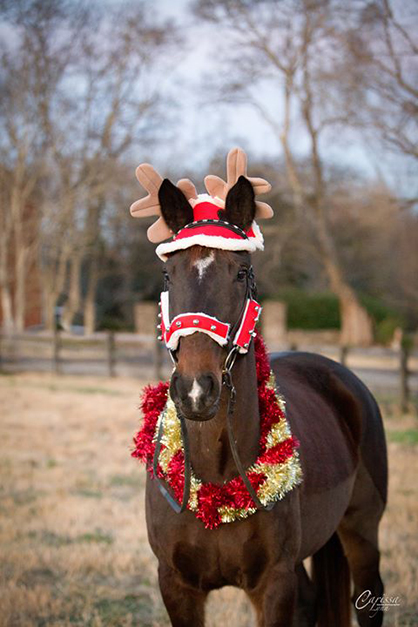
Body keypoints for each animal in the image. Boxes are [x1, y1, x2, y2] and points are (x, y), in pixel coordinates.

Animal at [136, 173, 386, 627]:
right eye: (168, 274)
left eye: (241, 272)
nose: (196, 390)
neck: (217, 478)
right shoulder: (177, 586)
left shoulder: (274, 583)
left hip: (362, 531)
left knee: (369, 596)